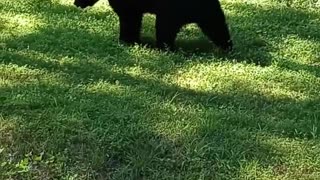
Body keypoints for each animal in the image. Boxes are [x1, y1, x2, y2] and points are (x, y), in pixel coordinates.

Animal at [73, 0, 232, 51]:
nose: (75, 3)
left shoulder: (129, 9)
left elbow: (129, 23)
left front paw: (126, 41)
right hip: (210, 14)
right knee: (218, 28)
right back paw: (227, 48)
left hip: (170, 13)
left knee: (165, 31)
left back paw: (163, 48)